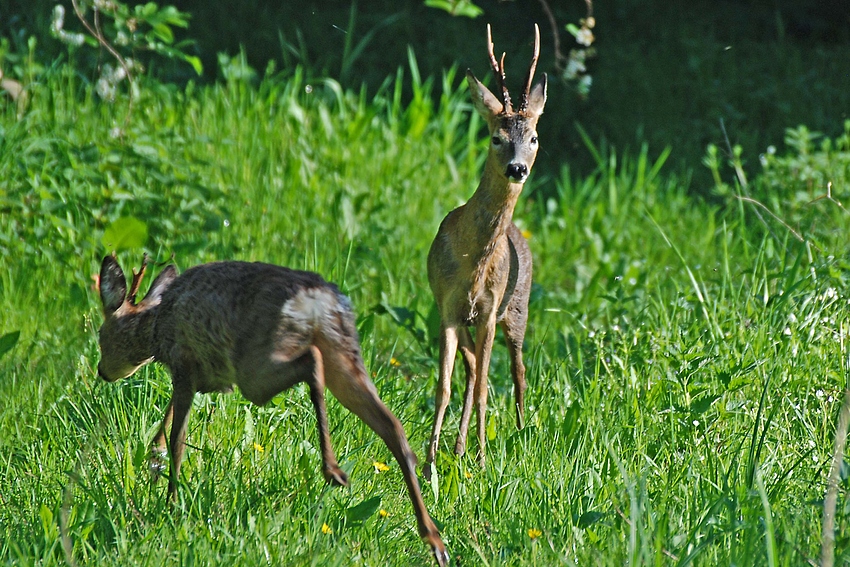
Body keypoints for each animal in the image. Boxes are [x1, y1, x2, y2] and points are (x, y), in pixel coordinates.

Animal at [95, 255, 448, 564]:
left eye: (100, 335)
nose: (101, 371)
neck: (156, 327)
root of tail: (316, 300)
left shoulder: (185, 364)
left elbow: (178, 439)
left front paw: (169, 504)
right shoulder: (198, 377)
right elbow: (167, 423)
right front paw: (153, 459)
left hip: (255, 365)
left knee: (312, 362)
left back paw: (333, 471)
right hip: (344, 352)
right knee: (392, 426)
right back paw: (435, 541)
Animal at [422, 23, 544, 474]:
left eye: (534, 137)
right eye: (495, 137)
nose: (517, 168)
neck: (472, 262)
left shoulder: (490, 311)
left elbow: (484, 387)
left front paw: (482, 458)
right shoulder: (448, 307)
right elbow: (444, 384)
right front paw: (430, 462)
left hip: (518, 309)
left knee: (517, 371)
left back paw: (521, 431)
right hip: (470, 321)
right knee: (475, 369)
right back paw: (457, 448)